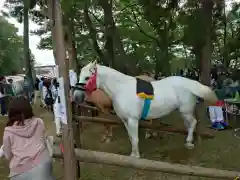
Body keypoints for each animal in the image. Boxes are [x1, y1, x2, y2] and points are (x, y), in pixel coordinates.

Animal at [79, 61, 218, 158]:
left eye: (87, 77)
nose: (77, 95)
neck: (121, 89)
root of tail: (189, 83)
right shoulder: (125, 120)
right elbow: (131, 137)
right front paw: (132, 154)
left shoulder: (133, 120)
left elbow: (134, 138)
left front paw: (136, 156)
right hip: (184, 112)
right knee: (189, 124)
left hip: (186, 111)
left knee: (193, 122)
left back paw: (189, 142)